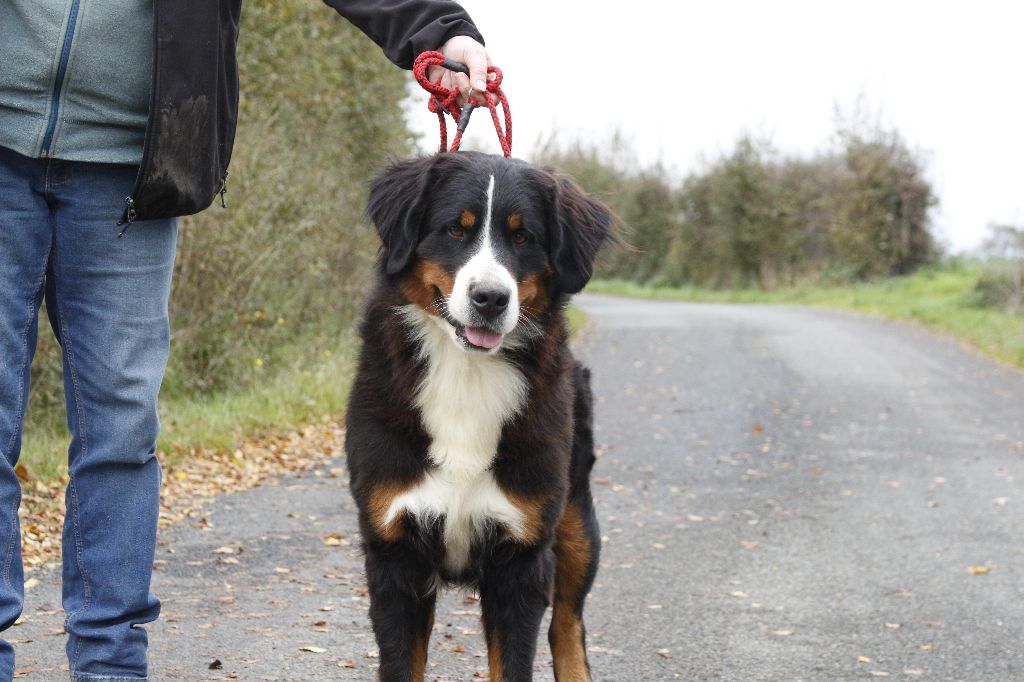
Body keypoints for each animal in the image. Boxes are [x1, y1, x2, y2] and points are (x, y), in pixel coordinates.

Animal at [345, 150, 614, 682]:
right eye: (455, 229)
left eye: (523, 236)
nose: (490, 298)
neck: (465, 373)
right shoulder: (395, 551)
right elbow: (402, 663)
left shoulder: (521, 555)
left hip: (576, 523)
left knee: (568, 623)